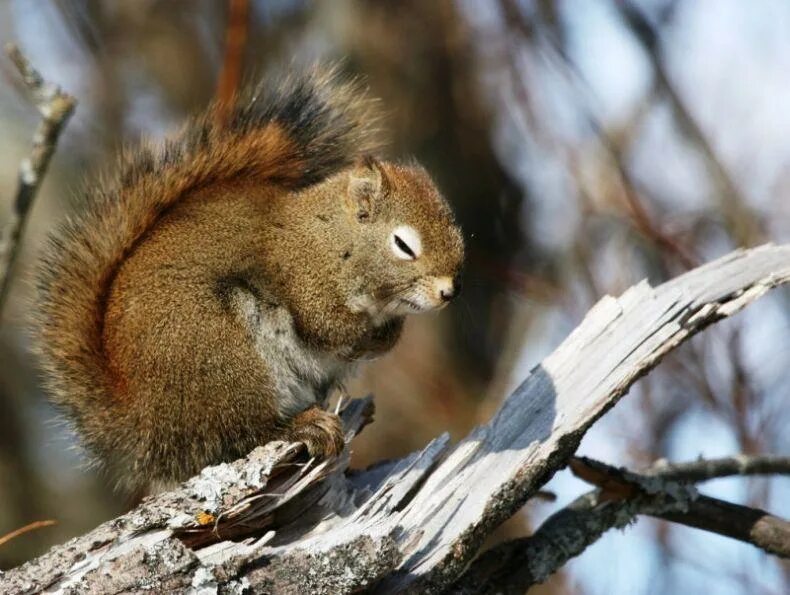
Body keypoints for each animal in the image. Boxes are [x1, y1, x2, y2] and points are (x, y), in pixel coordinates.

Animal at [35, 67, 464, 492]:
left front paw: (389, 334)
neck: (331, 239)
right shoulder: (304, 278)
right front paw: (374, 333)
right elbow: (328, 325)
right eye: (403, 245)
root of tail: (143, 423)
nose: (449, 292)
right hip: (222, 357)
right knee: (243, 434)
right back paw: (301, 427)